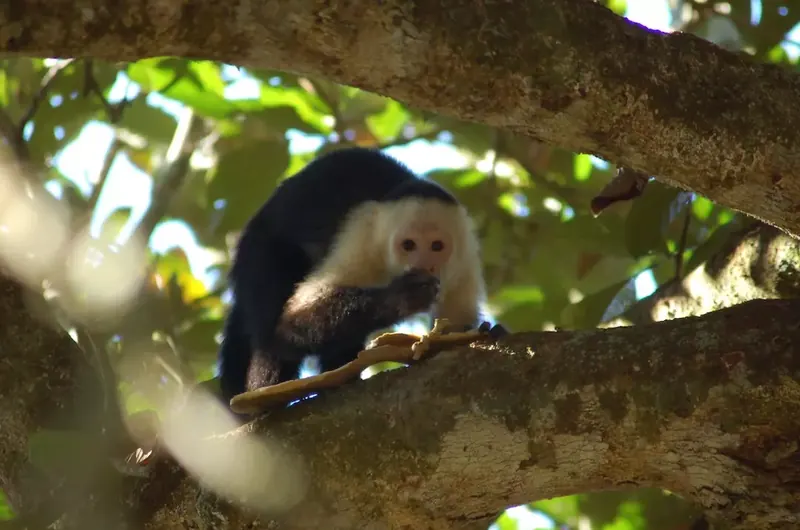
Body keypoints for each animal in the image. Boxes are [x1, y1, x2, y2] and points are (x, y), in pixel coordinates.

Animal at [218, 146, 492, 405]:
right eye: (409, 245)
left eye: (437, 246)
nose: (424, 265)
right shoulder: (362, 239)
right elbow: (291, 322)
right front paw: (402, 297)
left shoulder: (466, 259)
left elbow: (455, 329)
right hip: (259, 246)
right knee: (271, 329)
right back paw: (264, 397)